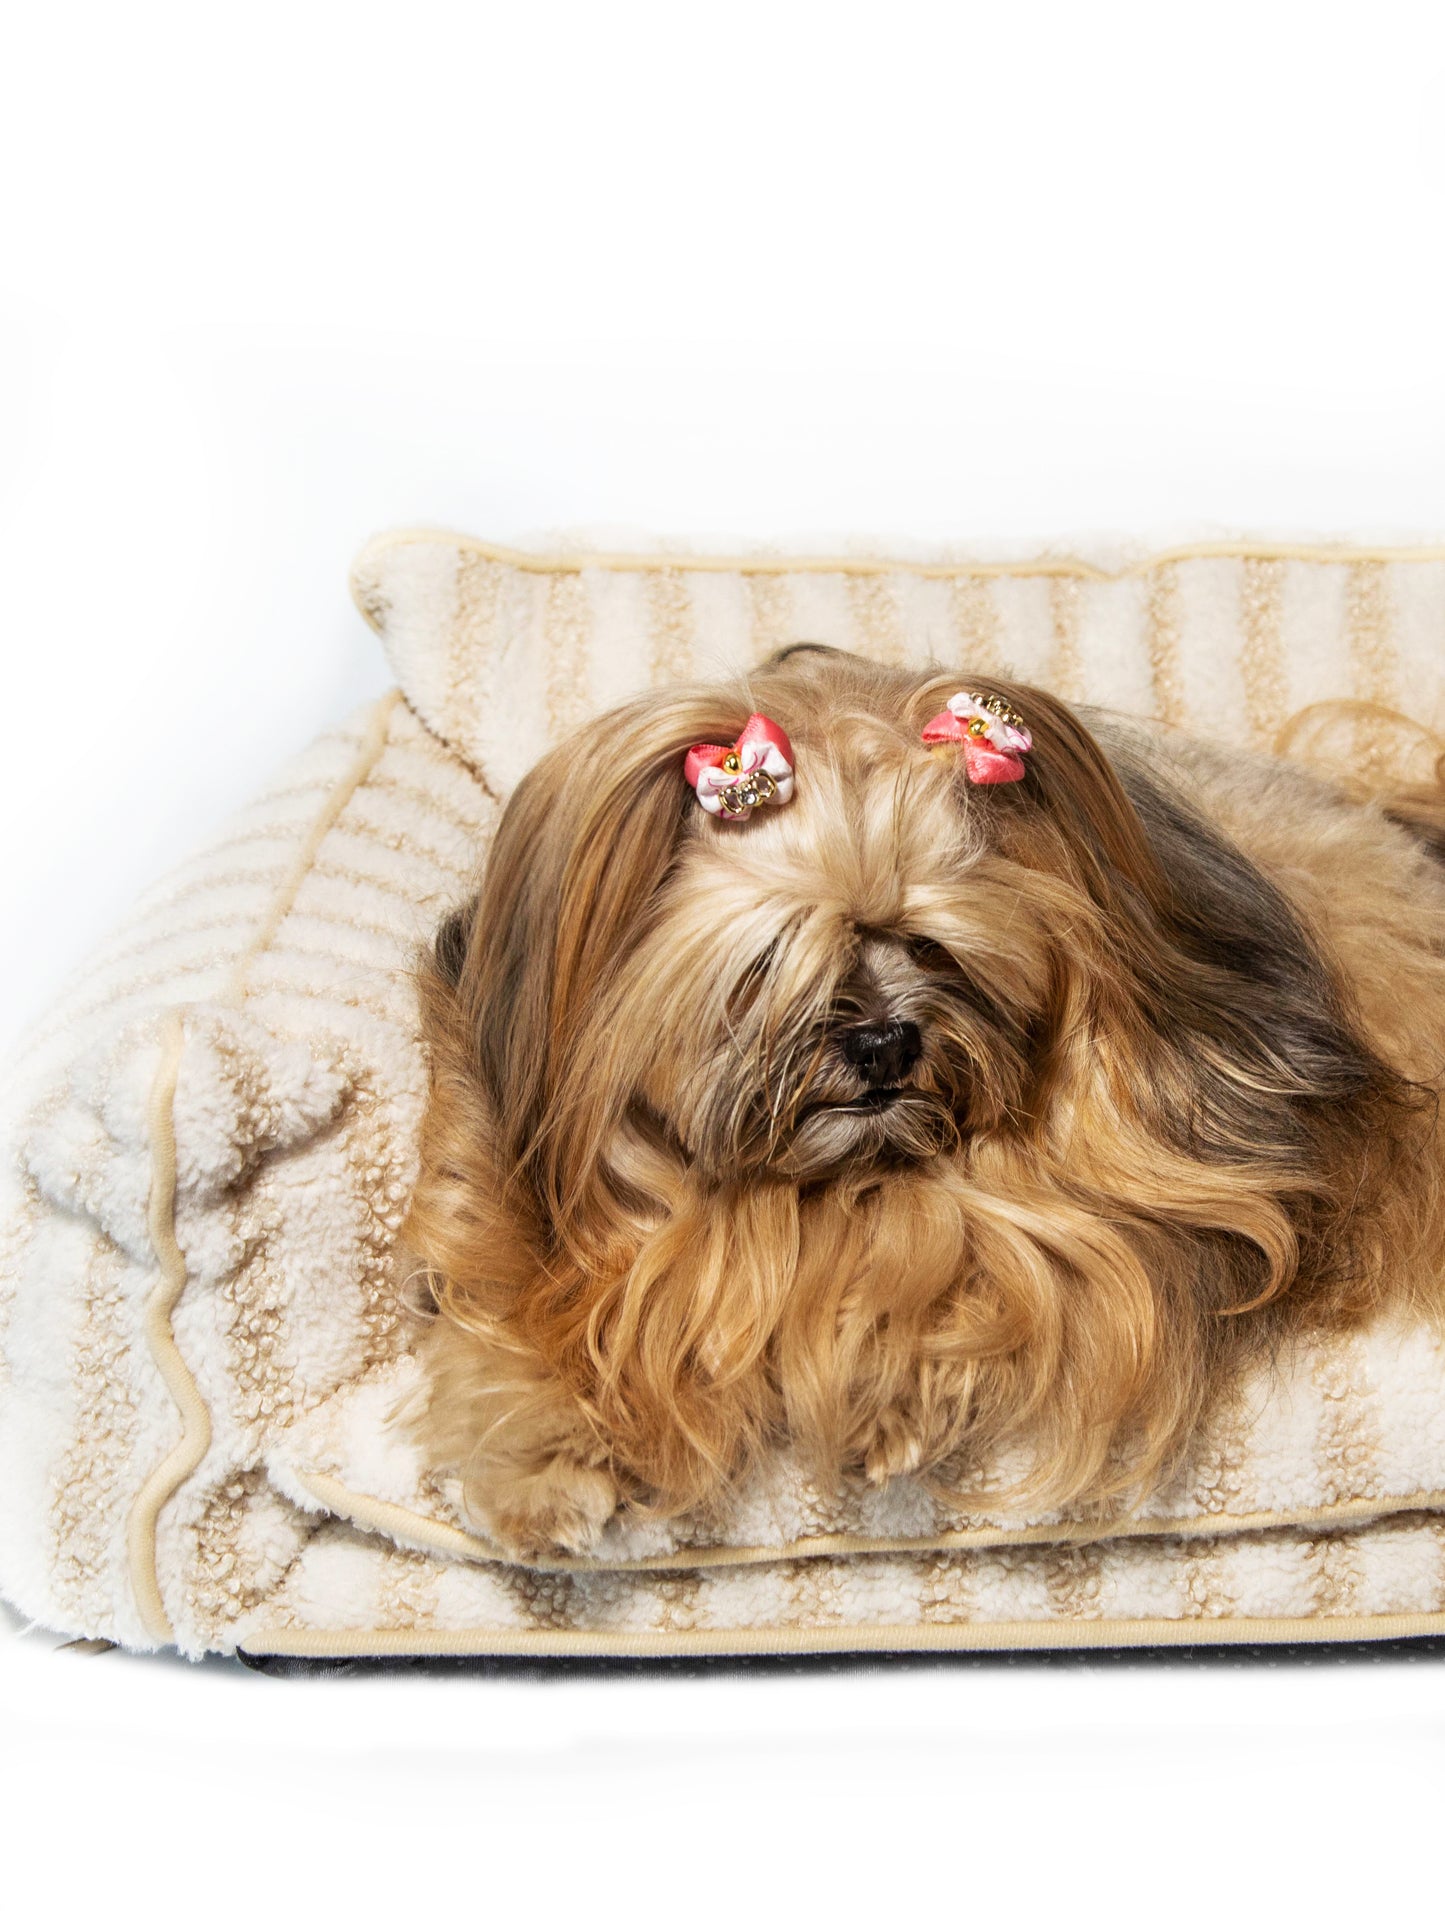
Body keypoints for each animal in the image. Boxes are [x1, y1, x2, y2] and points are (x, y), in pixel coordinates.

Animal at [401, 649, 1445, 1559]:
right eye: (768, 961)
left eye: (933, 945)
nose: (883, 1043)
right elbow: (507, 1310)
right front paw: (538, 1473)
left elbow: (970, 1246)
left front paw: (882, 1378)